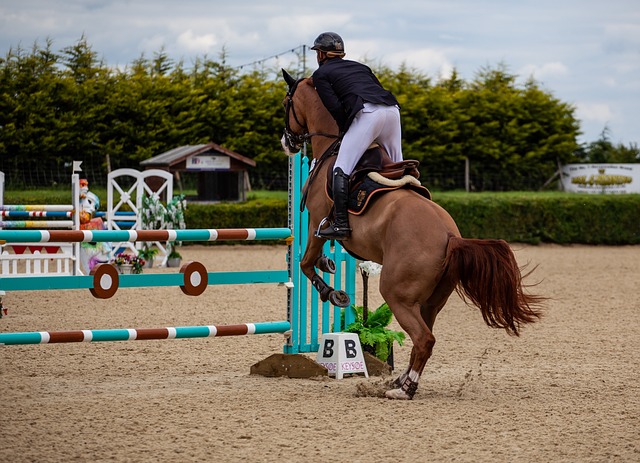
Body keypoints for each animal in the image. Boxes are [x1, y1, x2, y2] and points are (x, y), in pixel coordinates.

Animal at [280, 70, 544, 400]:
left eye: (285, 103)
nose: (286, 142)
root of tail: (451, 237)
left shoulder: (318, 221)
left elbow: (305, 262)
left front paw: (334, 294)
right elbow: (316, 260)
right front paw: (328, 265)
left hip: (397, 294)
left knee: (424, 338)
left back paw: (404, 389)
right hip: (431, 300)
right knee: (424, 336)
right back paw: (400, 381)